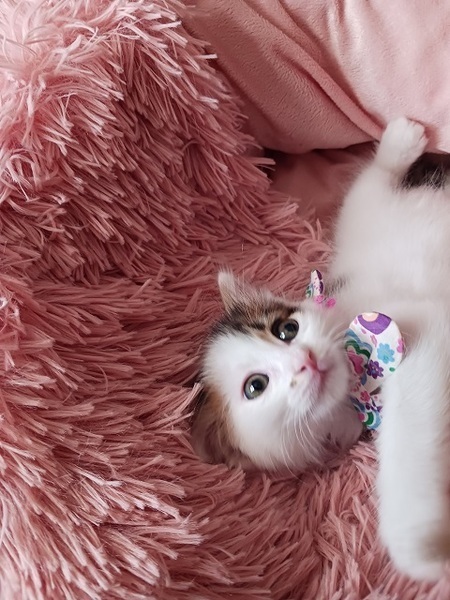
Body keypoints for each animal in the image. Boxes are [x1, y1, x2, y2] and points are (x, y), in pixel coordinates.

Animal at [192, 118, 450, 581]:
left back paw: (398, 142)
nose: (305, 361)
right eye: (255, 386)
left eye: (286, 329)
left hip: (365, 225)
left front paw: (418, 546)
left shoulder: (418, 326)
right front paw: (422, 549)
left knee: (367, 190)